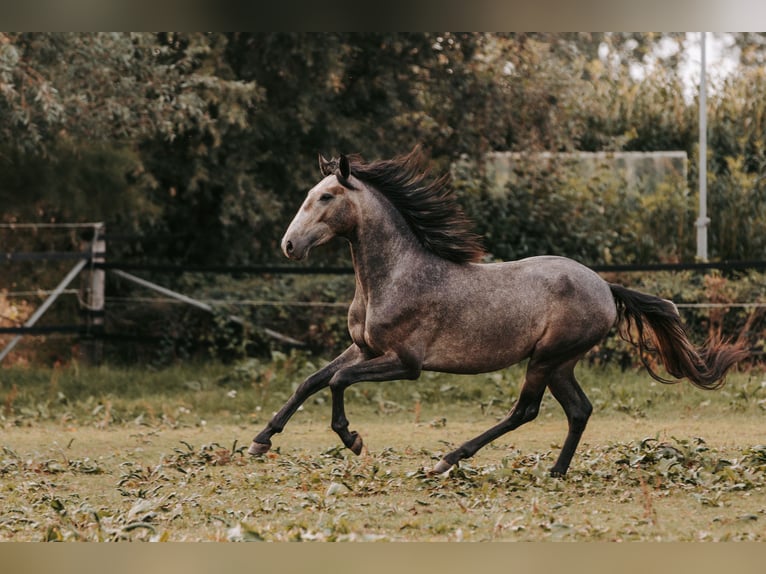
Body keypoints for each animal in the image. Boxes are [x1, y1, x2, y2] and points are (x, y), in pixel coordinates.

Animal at [250, 147, 752, 476]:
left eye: (326, 198)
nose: (289, 245)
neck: (393, 276)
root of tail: (605, 287)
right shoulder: (364, 348)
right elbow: (312, 380)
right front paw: (261, 440)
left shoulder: (405, 363)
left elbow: (337, 381)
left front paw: (352, 439)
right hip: (561, 363)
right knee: (579, 410)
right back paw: (555, 471)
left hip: (547, 358)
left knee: (526, 410)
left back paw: (448, 460)